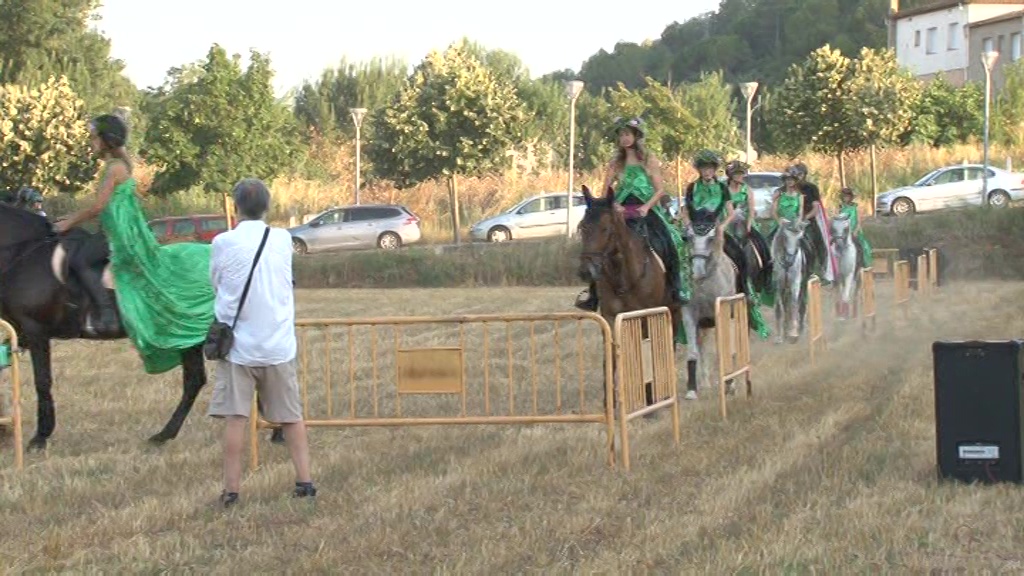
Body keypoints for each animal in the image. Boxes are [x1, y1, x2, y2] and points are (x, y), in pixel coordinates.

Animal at [0, 199, 209, 450]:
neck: (22, 253)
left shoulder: (36, 330)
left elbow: (42, 381)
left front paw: (40, 438)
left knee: (194, 380)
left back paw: (164, 435)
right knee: (196, 380)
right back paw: (164, 435)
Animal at [581, 183, 684, 407]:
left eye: (606, 228)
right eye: (582, 227)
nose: (587, 271)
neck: (624, 276)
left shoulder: (646, 314)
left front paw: (649, 397)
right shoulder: (611, 317)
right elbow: (611, 353)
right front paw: (609, 401)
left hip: (674, 310)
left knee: (668, 343)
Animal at [679, 212, 737, 399]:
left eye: (711, 238)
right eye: (688, 237)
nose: (697, 271)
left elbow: (724, 349)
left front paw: (729, 385)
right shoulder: (689, 314)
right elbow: (693, 351)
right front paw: (692, 390)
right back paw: (704, 382)